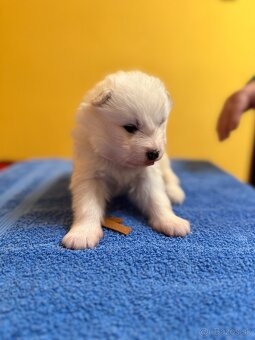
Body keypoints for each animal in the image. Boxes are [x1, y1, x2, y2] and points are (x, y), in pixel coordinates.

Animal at [61, 70, 189, 250]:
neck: (120, 161)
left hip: (164, 163)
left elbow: (158, 199)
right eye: (130, 128)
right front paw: (82, 234)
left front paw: (171, 221)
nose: (154, 153)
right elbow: (87, 205)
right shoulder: (89, 175)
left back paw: (174, 192)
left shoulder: (148, 176)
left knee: (170, 177)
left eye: (161, 123)